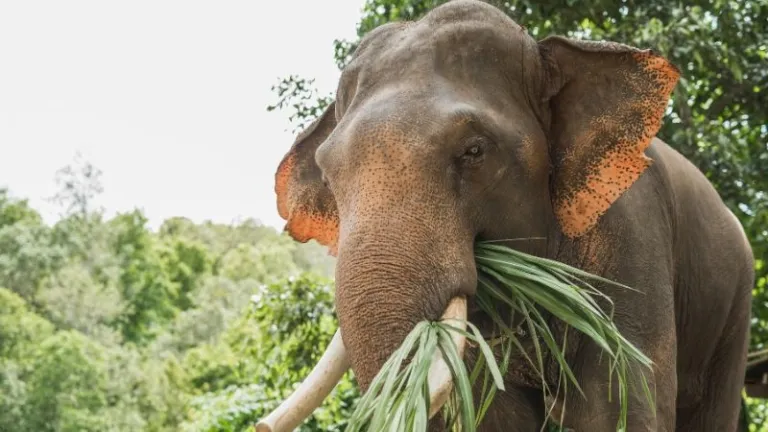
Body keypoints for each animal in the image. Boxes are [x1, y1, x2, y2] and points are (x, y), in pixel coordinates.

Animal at [260, 1, 755, 431]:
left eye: (474, 151)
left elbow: (619, 404)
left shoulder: (634, 233)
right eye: (328, 175)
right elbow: (497, 412)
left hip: (735, 302)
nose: (262, 426)